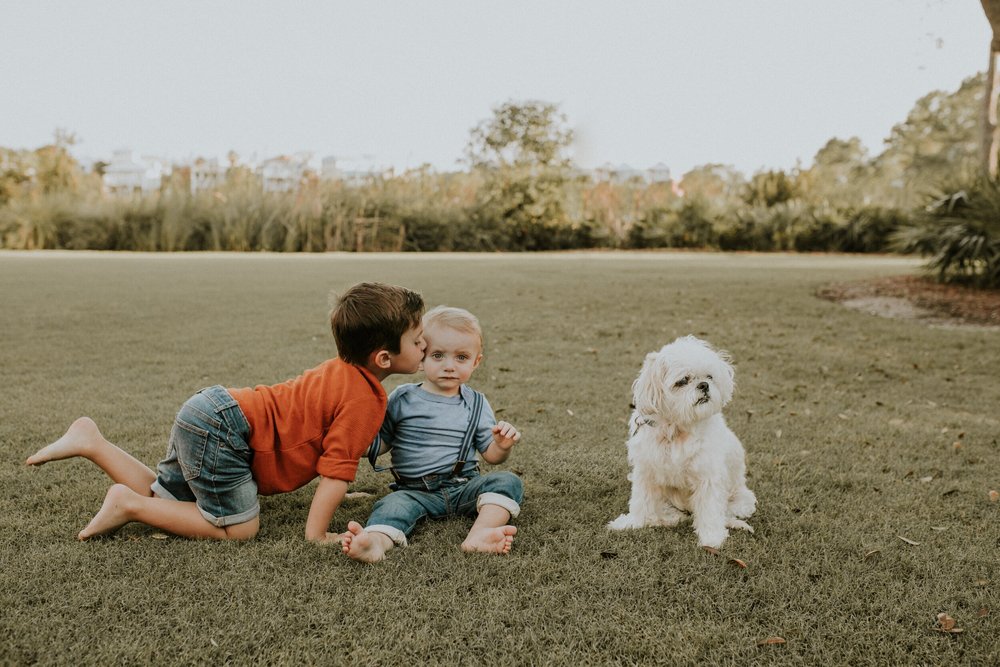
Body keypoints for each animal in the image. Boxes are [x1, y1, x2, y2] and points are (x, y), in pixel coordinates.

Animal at [604, 336, 752, 552]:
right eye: (682, 381)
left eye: (709, 376)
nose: (704, 385)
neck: (676, 429)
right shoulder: (646, 472)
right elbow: (640, 502)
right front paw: (632, 523)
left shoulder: (708, 477)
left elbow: (710, 510)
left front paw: (712, 538)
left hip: (741, 499)